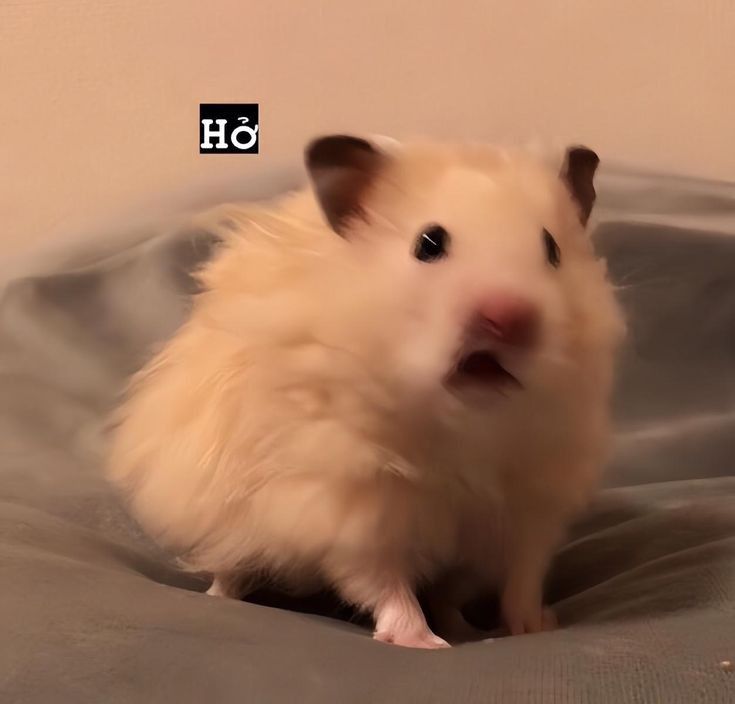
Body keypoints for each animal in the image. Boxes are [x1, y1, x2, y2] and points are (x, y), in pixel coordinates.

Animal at [108, 135, 625, 649]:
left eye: (552, 249)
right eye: (429, 243)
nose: (508, 317)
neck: (467, 428)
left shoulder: (528, 513)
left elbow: (520, 580)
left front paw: (534, 626)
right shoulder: (352, 513)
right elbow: (384, 584)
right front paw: (424, 642)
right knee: (230, 566)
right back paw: (220, 598)